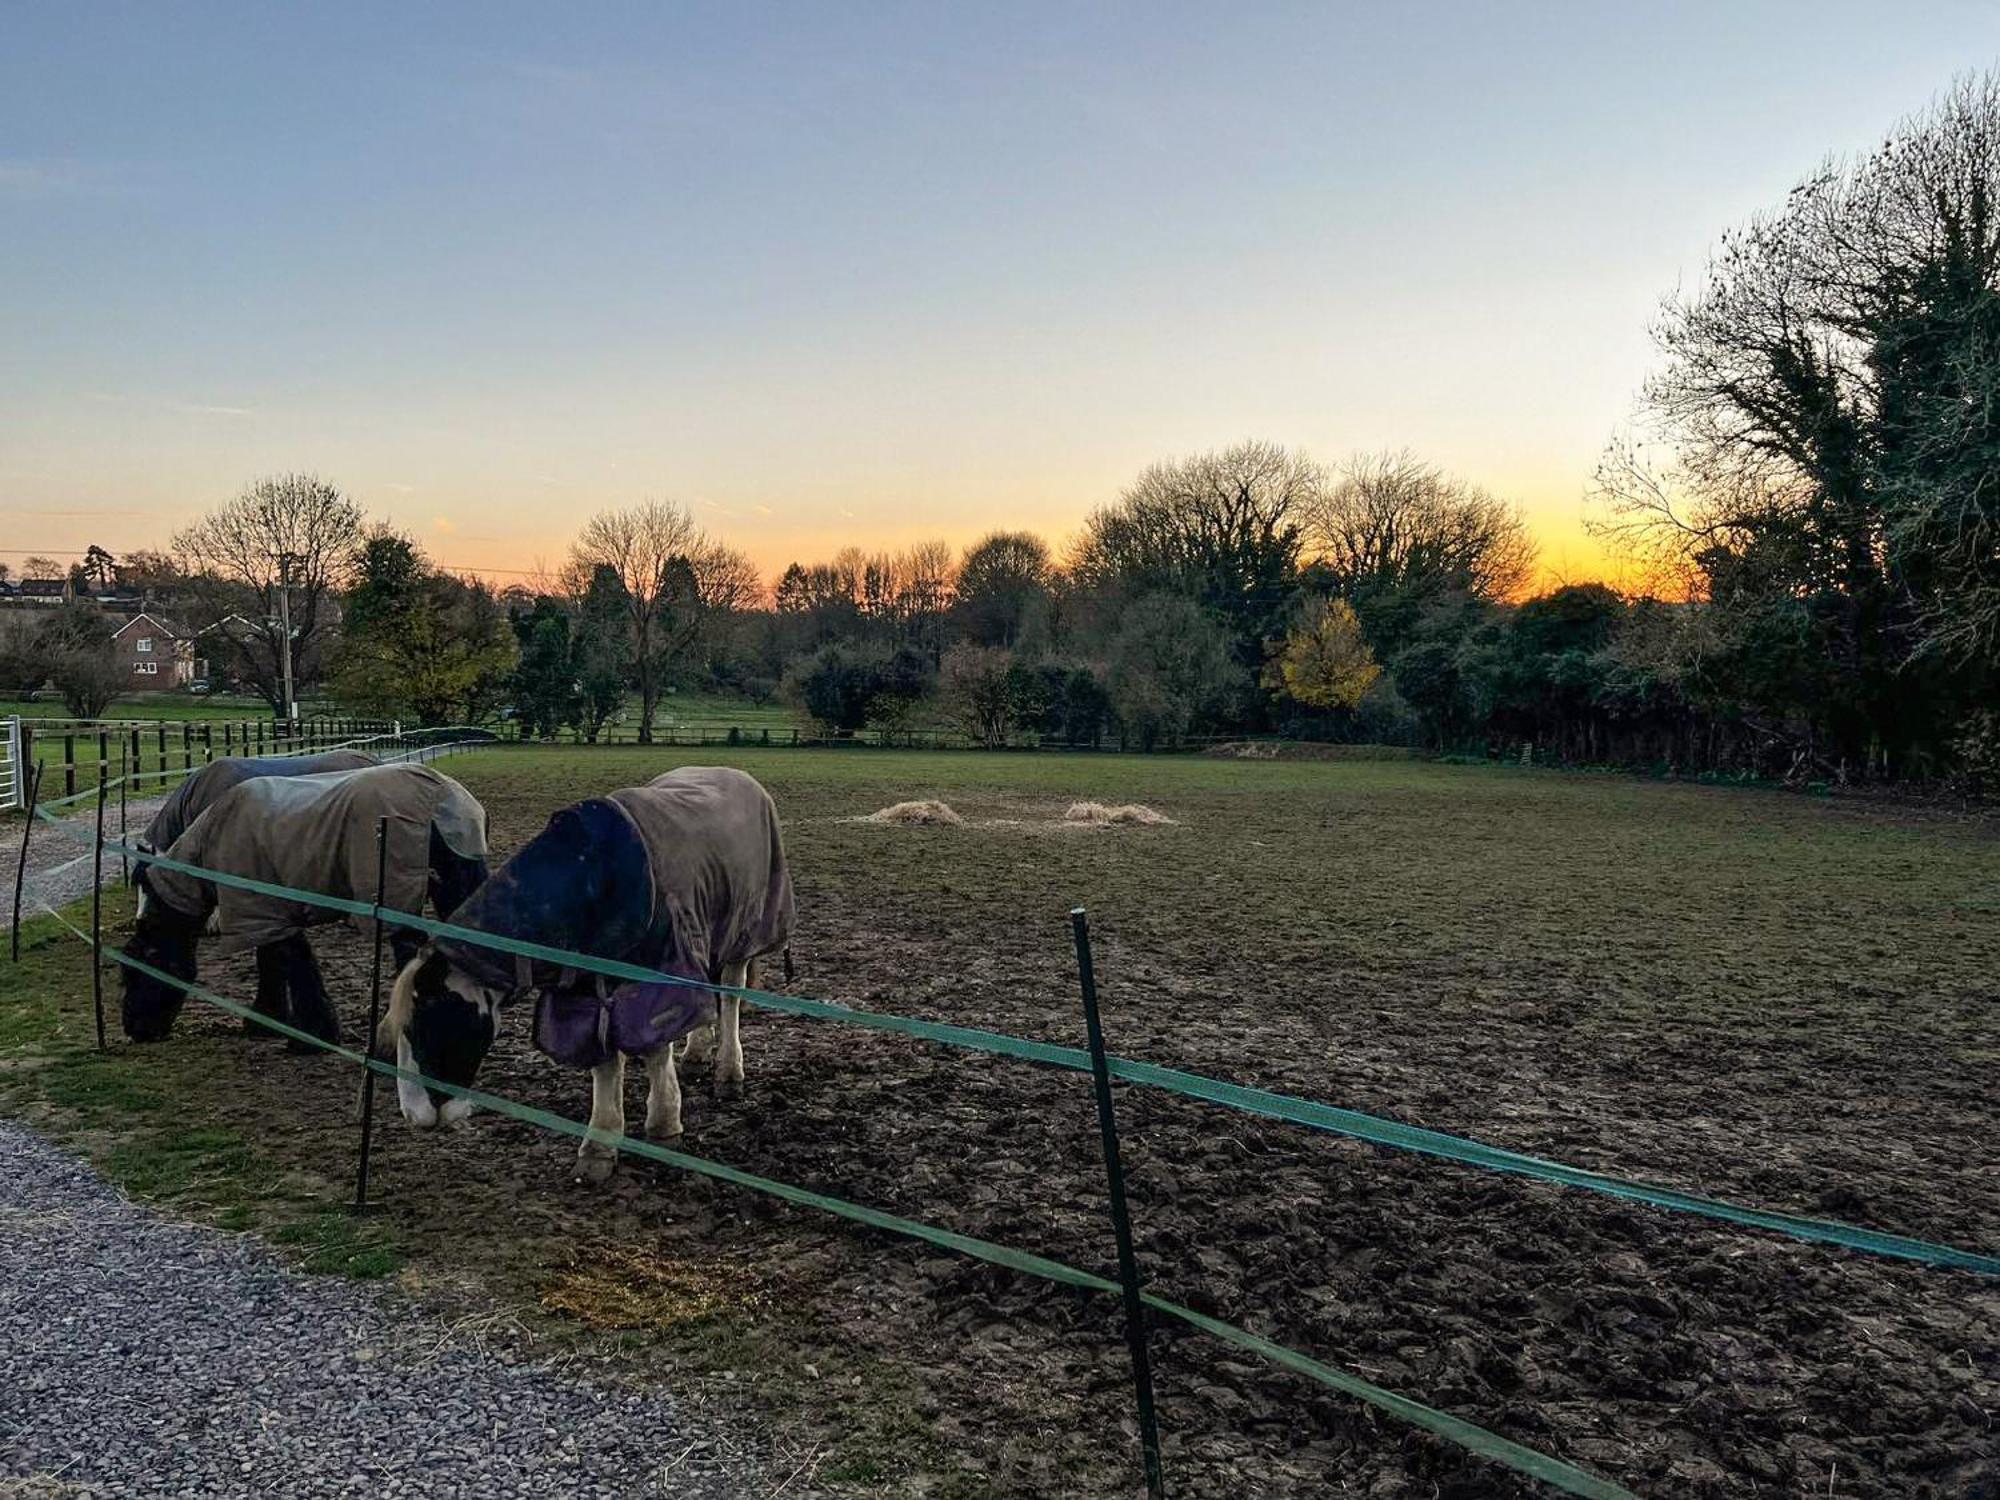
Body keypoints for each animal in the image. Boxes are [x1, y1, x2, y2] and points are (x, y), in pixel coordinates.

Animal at [123, 764, 490, 1056]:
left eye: (143, 960)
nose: (135, 1030)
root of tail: (442, 796)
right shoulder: (268, 913)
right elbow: (281, 959)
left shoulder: (262, 910)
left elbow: (286, 959)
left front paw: (304, 1035)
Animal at [378, 768, 792, 1184]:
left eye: (426, 1021)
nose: (415, 1116)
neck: (589, 880)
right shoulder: (584, 988)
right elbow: (603, 1061)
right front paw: (600, 1144)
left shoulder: (660, 973)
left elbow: (655, 1047)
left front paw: (663, 1125)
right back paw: (695, 1052)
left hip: (743, 934)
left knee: (731, 998)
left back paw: (728, 1071)